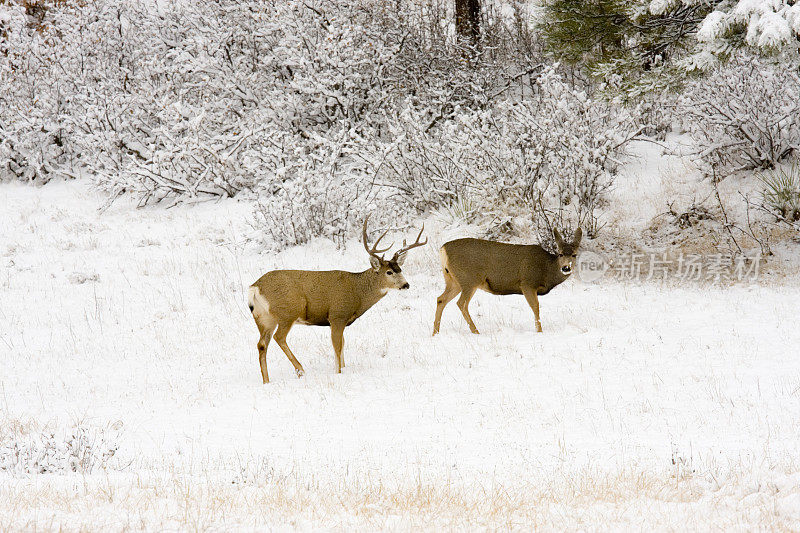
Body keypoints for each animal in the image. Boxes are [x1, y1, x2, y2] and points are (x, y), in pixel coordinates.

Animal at [247, 216, 428, 382]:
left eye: (400, 269)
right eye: (389, 272)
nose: (406, 284)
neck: (357, 292)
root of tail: (255, 287)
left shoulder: (342, 320)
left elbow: (342, 345)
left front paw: (343, 369)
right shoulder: (337, 315)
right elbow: (337, 347)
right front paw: (338, 373)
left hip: (263, 318)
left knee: (261, 344)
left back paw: (267, 380)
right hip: (288, 312)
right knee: (279, 338)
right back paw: (300, 370)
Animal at [432, 227, 580, 334]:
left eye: (574, 255)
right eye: (560, 254)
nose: (566, 268)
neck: (546, 270)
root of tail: (443, 250)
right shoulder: (527, 283)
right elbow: (536, 307)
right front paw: (539, 332)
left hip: (453, 280)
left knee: (441, 299)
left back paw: (435, 332)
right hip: (469, 279)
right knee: (461, 303)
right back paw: (476, 332)